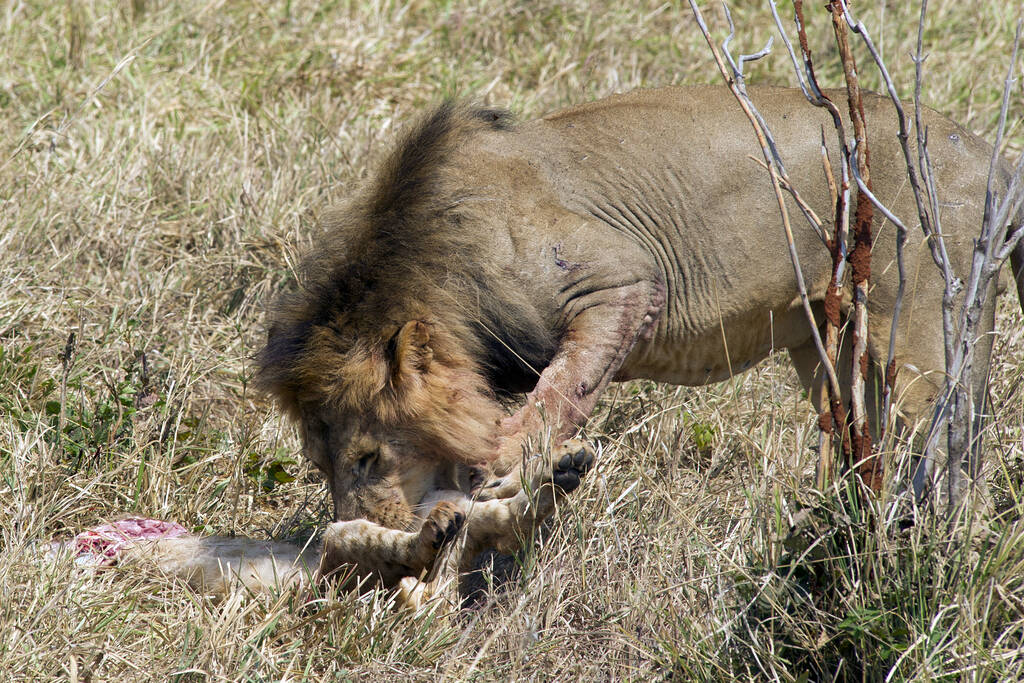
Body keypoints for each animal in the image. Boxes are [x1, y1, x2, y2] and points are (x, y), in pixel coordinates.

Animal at [256, 85, 1024, 585]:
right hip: (828, 346)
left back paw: (934, 553)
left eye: (366, 459)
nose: (362, 568)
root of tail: (995, 157)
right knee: (872, 442)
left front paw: (512, 469)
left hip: (922, 330)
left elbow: (560, 390)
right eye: (322, 467)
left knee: (955, 448)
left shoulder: (622, 278)